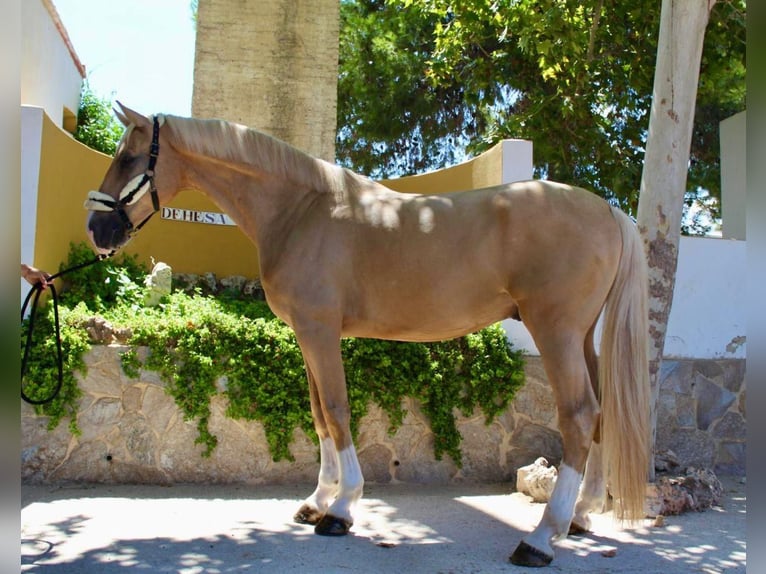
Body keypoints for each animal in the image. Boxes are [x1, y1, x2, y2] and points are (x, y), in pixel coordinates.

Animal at [88, 104, 656, 572]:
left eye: (130, 156)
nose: (97, 230)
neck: (302, 210)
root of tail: (608, 210)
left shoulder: (320, 331)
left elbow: (338, 411)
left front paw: (341, 510)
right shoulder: (306, 334)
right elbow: (318, 414)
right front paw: (318, 500)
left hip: (555, 332)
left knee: (579, 416)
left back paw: (540, 538)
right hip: (582, 337)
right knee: (601, 414)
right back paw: (581, 516)